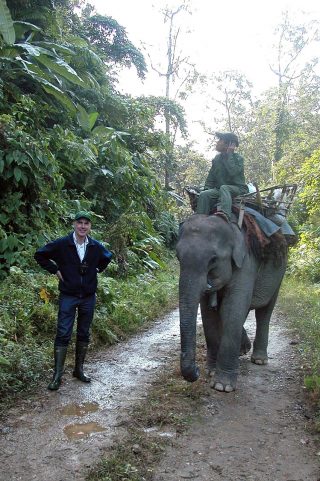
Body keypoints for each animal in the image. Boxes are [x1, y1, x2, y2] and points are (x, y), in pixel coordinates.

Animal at [176, 213, 288, 390]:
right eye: (177, 257)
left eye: (213, 260)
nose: (197, 371)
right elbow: (209, 313)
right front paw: (210, 371)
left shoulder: (246, 263)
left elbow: (232, 308)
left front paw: (222, 386)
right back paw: (243, 350)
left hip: (279, 275)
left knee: (264, 312)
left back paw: (259, 360)